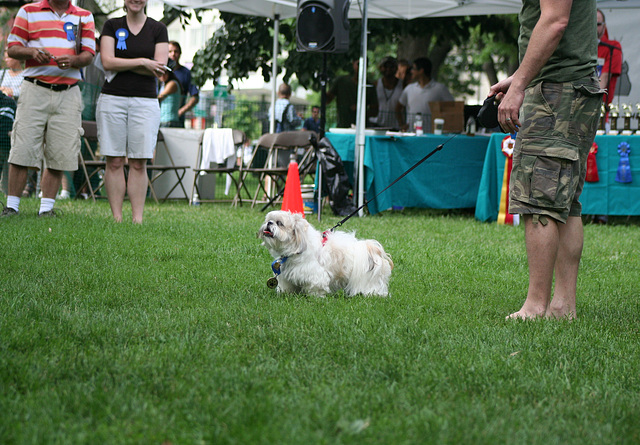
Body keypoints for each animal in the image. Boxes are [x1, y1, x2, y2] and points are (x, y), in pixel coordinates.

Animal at [258, 210, 392, 296]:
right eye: (268, 220)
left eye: (279, 223)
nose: (269, 223)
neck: (295, 247)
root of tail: (371, 250)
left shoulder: (314, 274)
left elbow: (316, 287)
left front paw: (314, 297)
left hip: (368, 279)